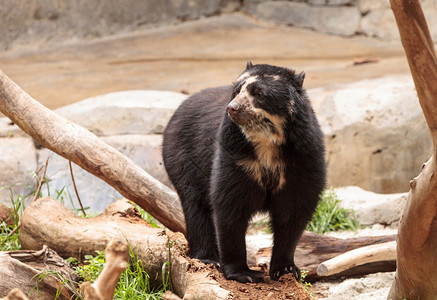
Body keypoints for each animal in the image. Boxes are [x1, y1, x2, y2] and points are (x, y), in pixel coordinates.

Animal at [162, 61, 326, 284]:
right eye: (237, 90)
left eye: (259, 93)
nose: (233, 108)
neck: (266, 142)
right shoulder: (235, 155)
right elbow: (230, 206)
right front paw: (244, 273)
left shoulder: (303, 159)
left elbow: (293, 211)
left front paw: (285, 269)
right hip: (184, 157)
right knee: (195, 206)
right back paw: (208, 258)